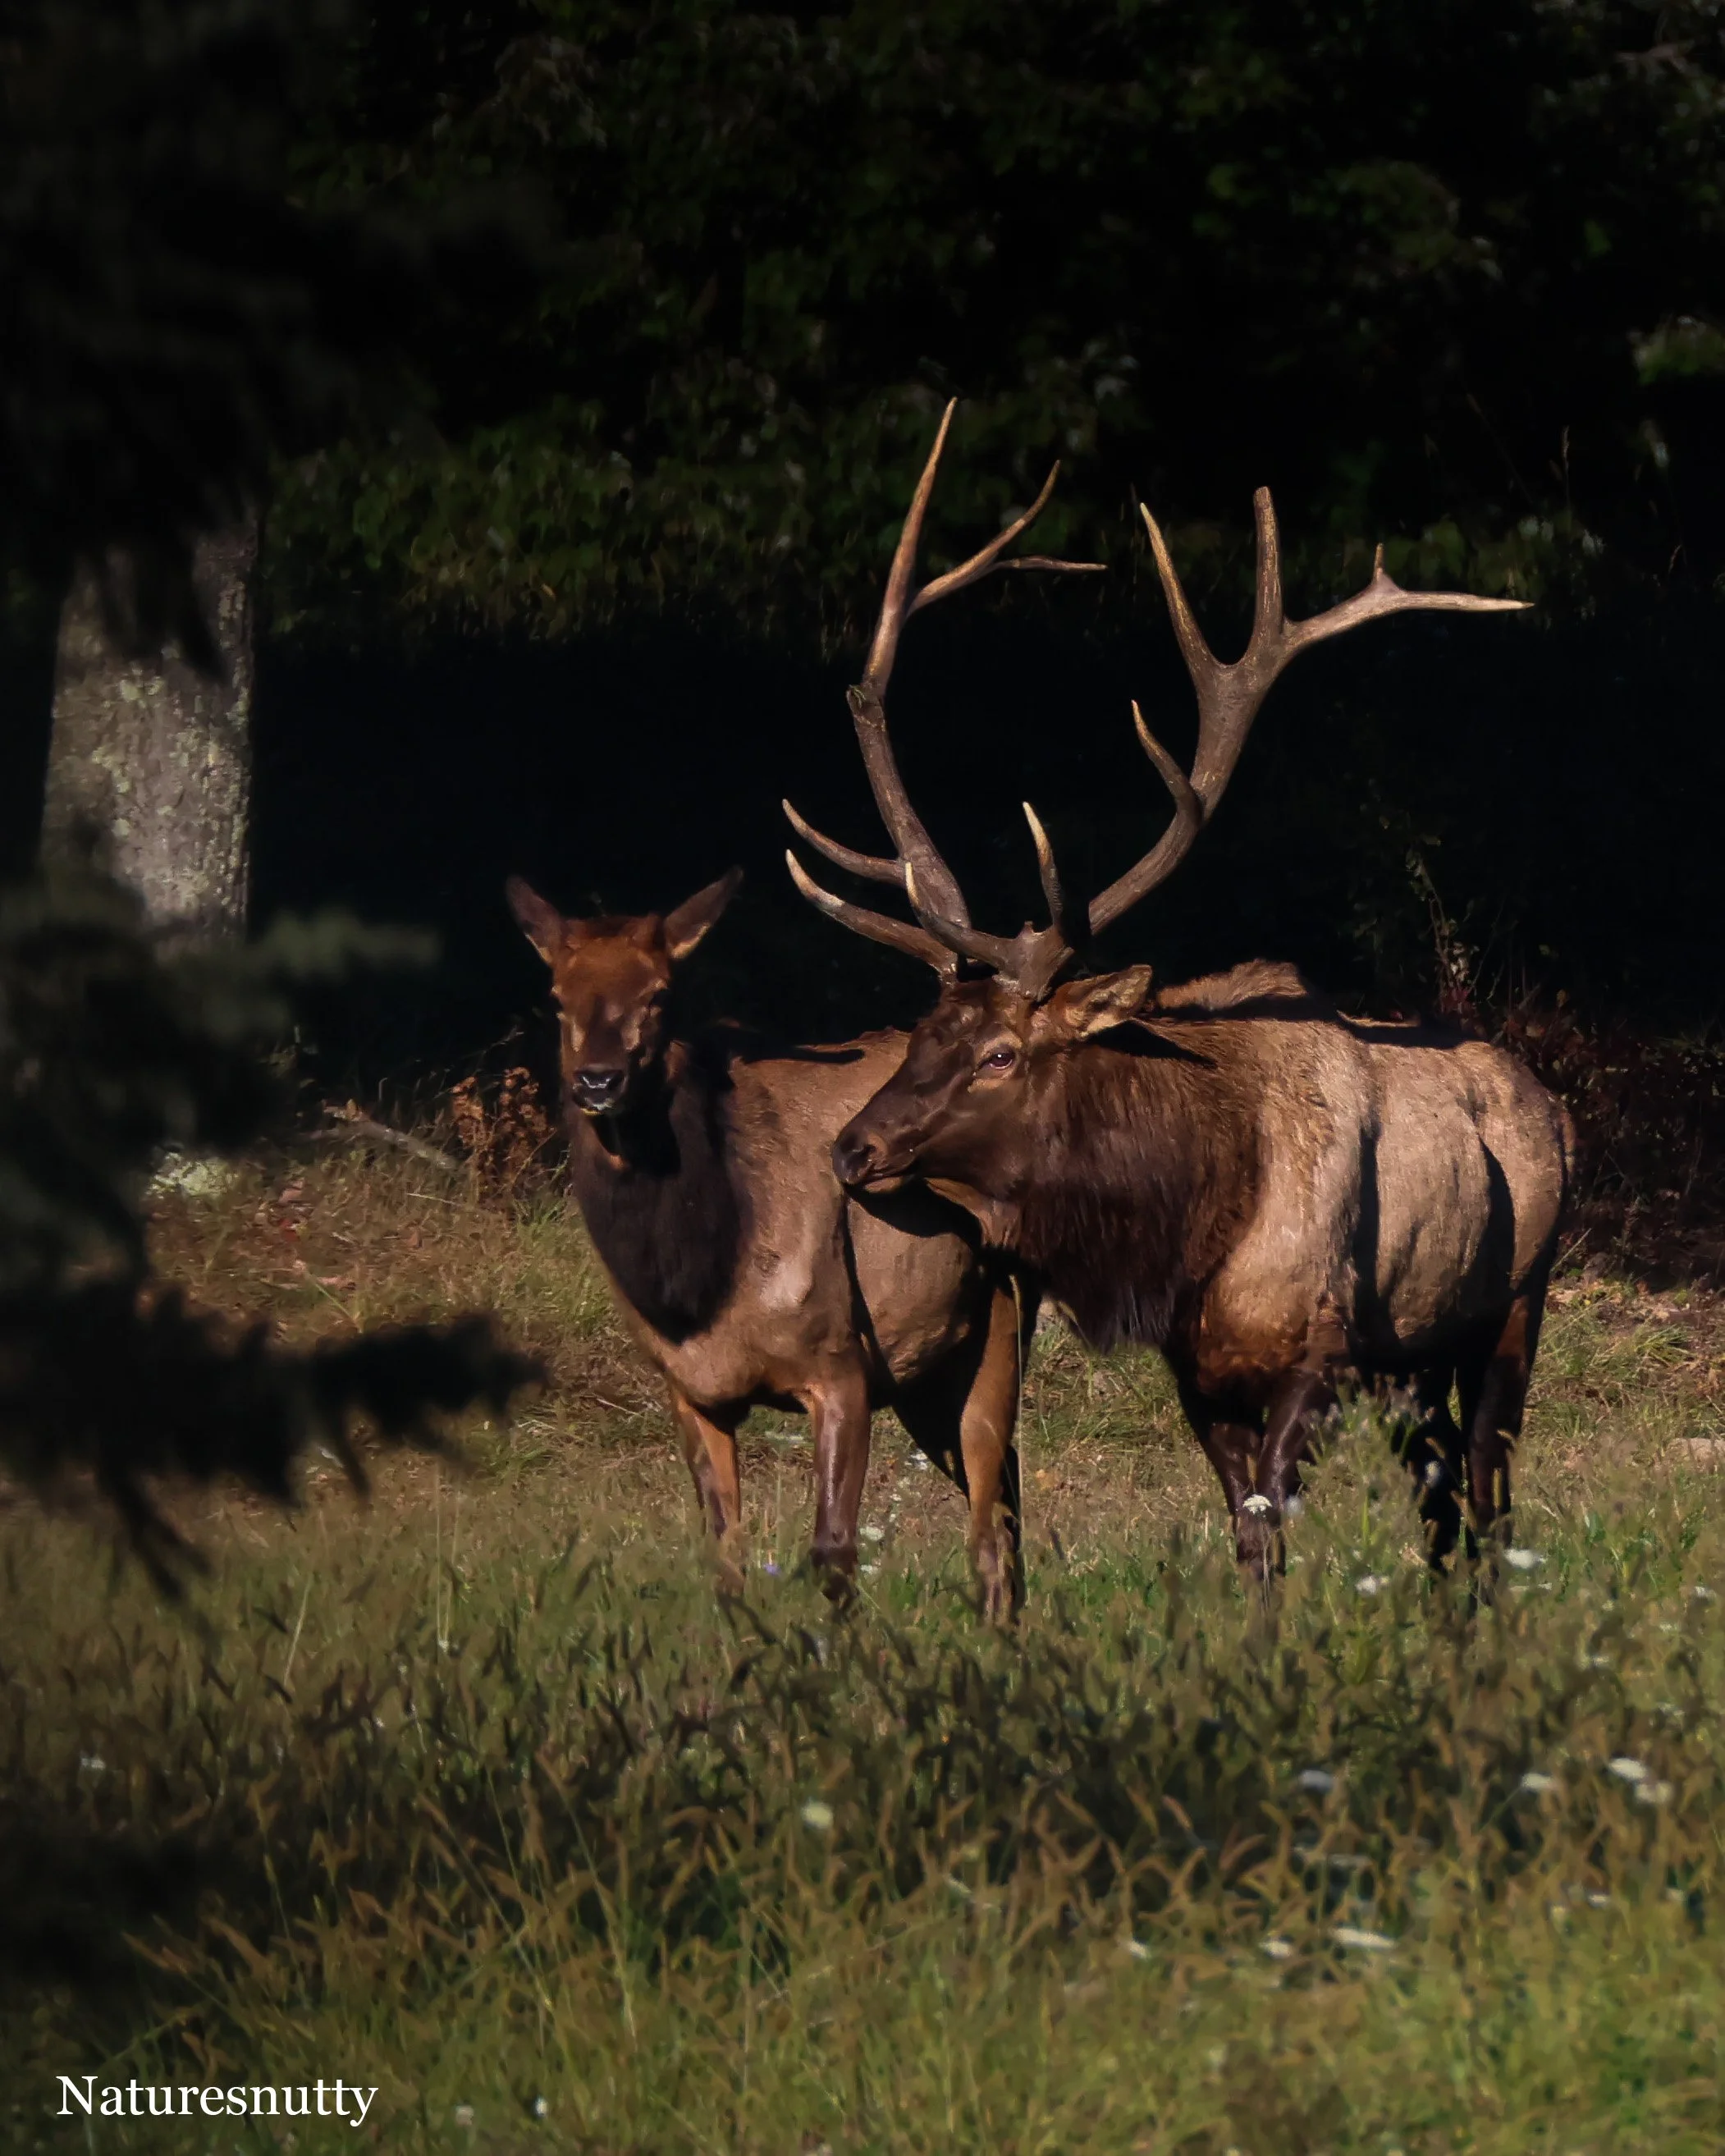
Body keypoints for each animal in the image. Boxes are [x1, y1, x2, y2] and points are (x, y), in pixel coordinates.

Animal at [507, 436, 1102, 1617]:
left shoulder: (838, 1362)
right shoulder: (687, 1390)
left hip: (994, 1323)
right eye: (555, 999)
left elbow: (832, 1555)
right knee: (1003, 1519)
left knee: (994, 1531)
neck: (699, 1281)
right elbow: (726, 1561)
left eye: (661, 996)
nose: (597, 1081)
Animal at [786, 414, 1572, 1579]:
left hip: (1513, 1305)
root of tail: (1553, 1107)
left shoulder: (1323, 1349)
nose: (851, 1147)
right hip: (1417, 1362)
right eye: (923, 1031)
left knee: (1486, 1492)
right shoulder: (1197, 1373)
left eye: (1000, 1054)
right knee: (1443, 1506)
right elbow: (1248, 1538)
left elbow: (1271, 1518)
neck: (1188, 1222)